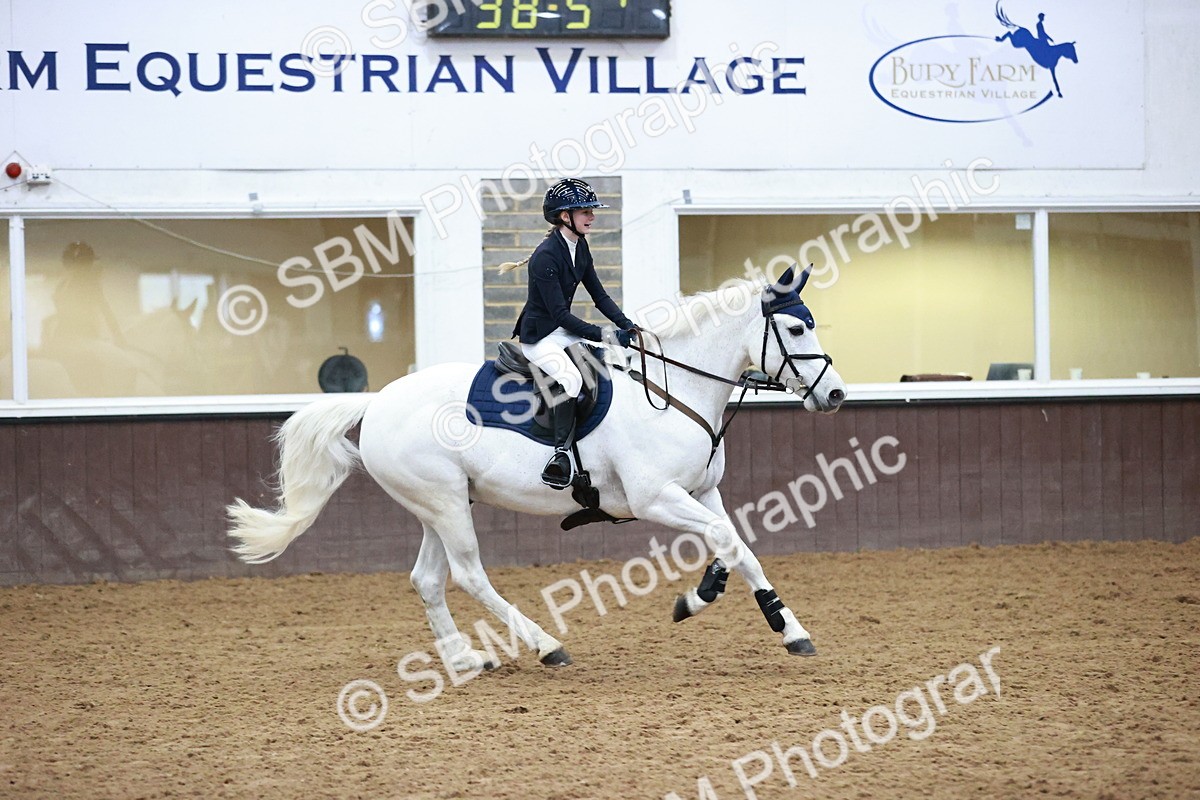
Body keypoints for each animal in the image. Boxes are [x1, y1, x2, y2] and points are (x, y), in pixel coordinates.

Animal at [227, 266, 847, 673]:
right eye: (797, 330)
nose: (836, 394)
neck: (676, 390)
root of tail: (377, 402)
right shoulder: (656, 496)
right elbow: (728, 540)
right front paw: (767, 622)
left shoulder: (702, 490)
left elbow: (735, 545)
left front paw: (753, 615)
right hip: (446, 505)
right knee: (468, 574)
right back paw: (546, 645)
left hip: (439, 505)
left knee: (427, 580)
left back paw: (465, 659)